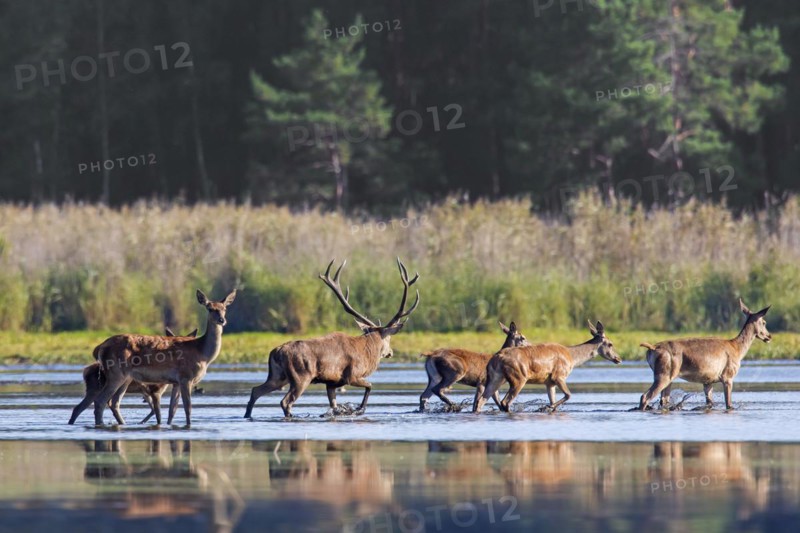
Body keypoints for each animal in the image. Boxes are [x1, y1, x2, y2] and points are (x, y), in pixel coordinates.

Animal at [68, 327, 198, 426]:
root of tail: (85, 371)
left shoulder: (147, 393)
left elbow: (156, 411)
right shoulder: (155, 391)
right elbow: (158, 415)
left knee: (79, 408)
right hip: (99, 387)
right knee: (92, 404)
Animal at [244, 258, 419, 418]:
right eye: (389, 338)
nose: (390, 352)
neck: (368, 351)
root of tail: (276, 352)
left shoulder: (332, 383)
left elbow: (334, 405)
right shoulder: (352, 375)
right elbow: (370, 386)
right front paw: (359, 409)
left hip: (278, 376)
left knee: (256, 390)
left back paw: (247, 415)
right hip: (301, 376)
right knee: (285, 401)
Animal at [473, 320, 621, 413]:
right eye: (610, 344)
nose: (618, 358)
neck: (572, 358)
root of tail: (496, 358)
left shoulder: (549, 382)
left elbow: (555, 402)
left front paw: (547, 408)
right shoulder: (559, 376)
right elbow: (568, 395)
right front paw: (543, 408)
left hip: (495, 378)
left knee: (481, 401)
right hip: (518, 378)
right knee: (505, 402)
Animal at [636, 298, 771, 411]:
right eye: (764, 322)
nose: (769, 336)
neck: (737, 349)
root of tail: (652, 348)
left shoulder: (708, 381)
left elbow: (710, 403)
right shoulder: (728, 377)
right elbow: (729, 404)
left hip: (668, 377)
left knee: (663, 401)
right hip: (663, 375)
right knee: (645, 396)